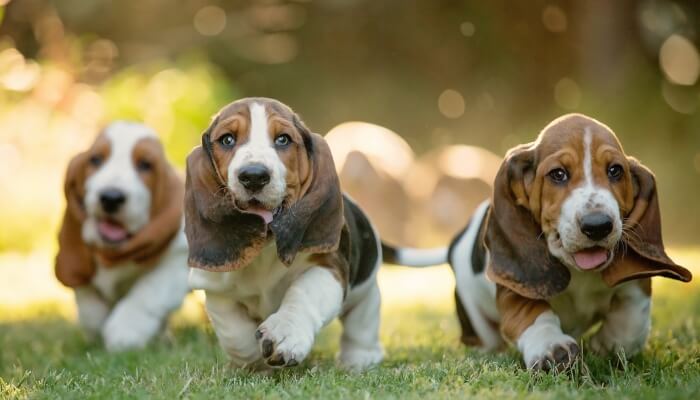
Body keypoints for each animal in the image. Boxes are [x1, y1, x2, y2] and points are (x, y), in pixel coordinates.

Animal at [55, 121, 190, 350]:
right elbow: (88, 303)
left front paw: (125, 333)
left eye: (145, 165)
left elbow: (146, 293)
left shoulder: (176, 266)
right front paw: (96, 328)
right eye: (96, 160)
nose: (111, 197)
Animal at [186, 97, 382, 372]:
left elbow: (303, 294)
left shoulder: (328, 267)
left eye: (283, 139)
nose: (254, 176)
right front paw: (254, 360)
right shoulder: (215, 289)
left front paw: (285, 333)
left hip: (366, 288)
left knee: (362, 320)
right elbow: (233, 331)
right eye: (227, 140)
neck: (265, 247)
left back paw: (359, 358)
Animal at [386, 113, 692, 372]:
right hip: (474, 315)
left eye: (616, 171)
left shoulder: (636, 285)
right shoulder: (515, 287)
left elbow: (632, 318)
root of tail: (455, 241)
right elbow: (534, 315)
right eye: (558, 174)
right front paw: (551, 347)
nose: (597, 225)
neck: (578, 271)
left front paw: (607, 344)